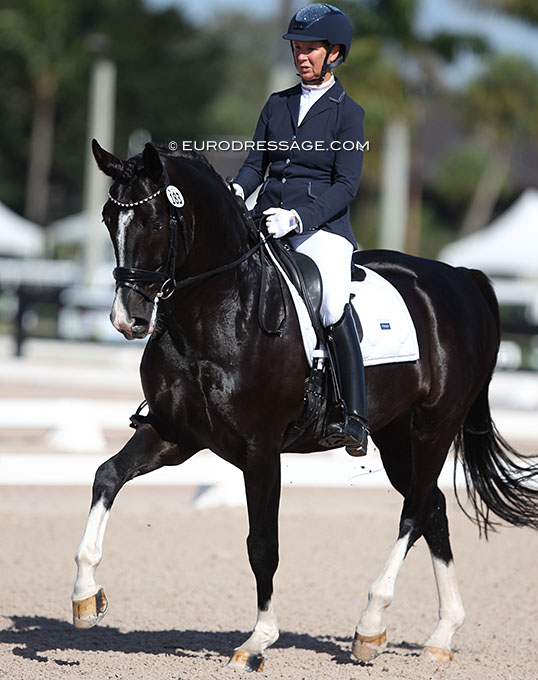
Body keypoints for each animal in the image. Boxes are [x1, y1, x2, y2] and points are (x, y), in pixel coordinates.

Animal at [72, 139, 538, 672]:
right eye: (108, 218)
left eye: (153, 221)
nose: (127, 319)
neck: (216, 312)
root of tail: (462, 278)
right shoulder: (175, 435)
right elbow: (107, 476)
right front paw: (86, 596)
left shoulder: (260, 449)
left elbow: (263, 544)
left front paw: (258, 641)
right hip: (396, 435)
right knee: (433, 507)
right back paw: (441, 634)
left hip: (433, 427)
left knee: (416, 510)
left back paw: (370, 625)